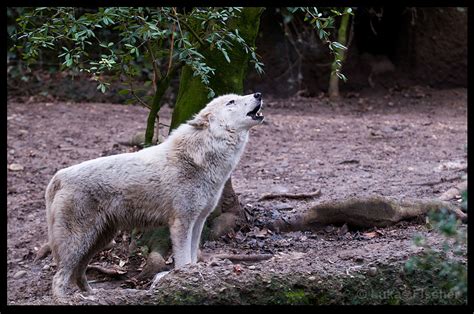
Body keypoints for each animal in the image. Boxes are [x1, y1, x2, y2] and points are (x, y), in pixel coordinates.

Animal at [41, 92, 262, 298]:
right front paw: (185, 281)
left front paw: (193, 275)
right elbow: (183, 259)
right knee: (59, 277)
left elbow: (192, 256)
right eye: (231, 102)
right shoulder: (181, 222)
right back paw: (64, 299)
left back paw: (91, 294)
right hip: (78, 242)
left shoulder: (198, 220)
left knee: (78, 272)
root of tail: (58, 176)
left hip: (100, 240)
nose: (258, 94)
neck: (201, 156)